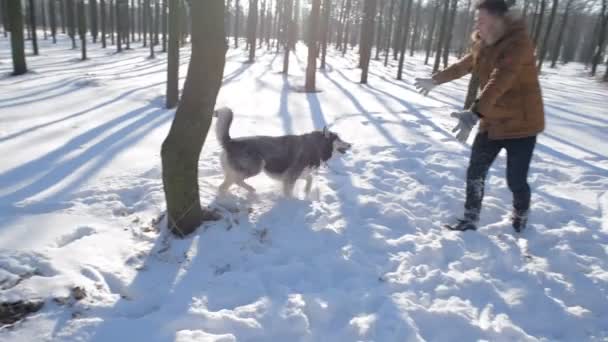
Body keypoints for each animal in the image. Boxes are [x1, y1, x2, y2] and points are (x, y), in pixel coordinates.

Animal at [214, 107, 352, 198]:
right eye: (338, 139)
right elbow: (289, 193)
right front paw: (291, 203)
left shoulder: (296, 174)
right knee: (233, 182)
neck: (315, 146)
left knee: (223, 186)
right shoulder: (290, 178)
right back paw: (246, 191)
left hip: (236, 171)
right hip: (256, 167)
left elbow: (310, 178)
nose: (350, 144)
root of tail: (231, 142)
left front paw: (306, 192)